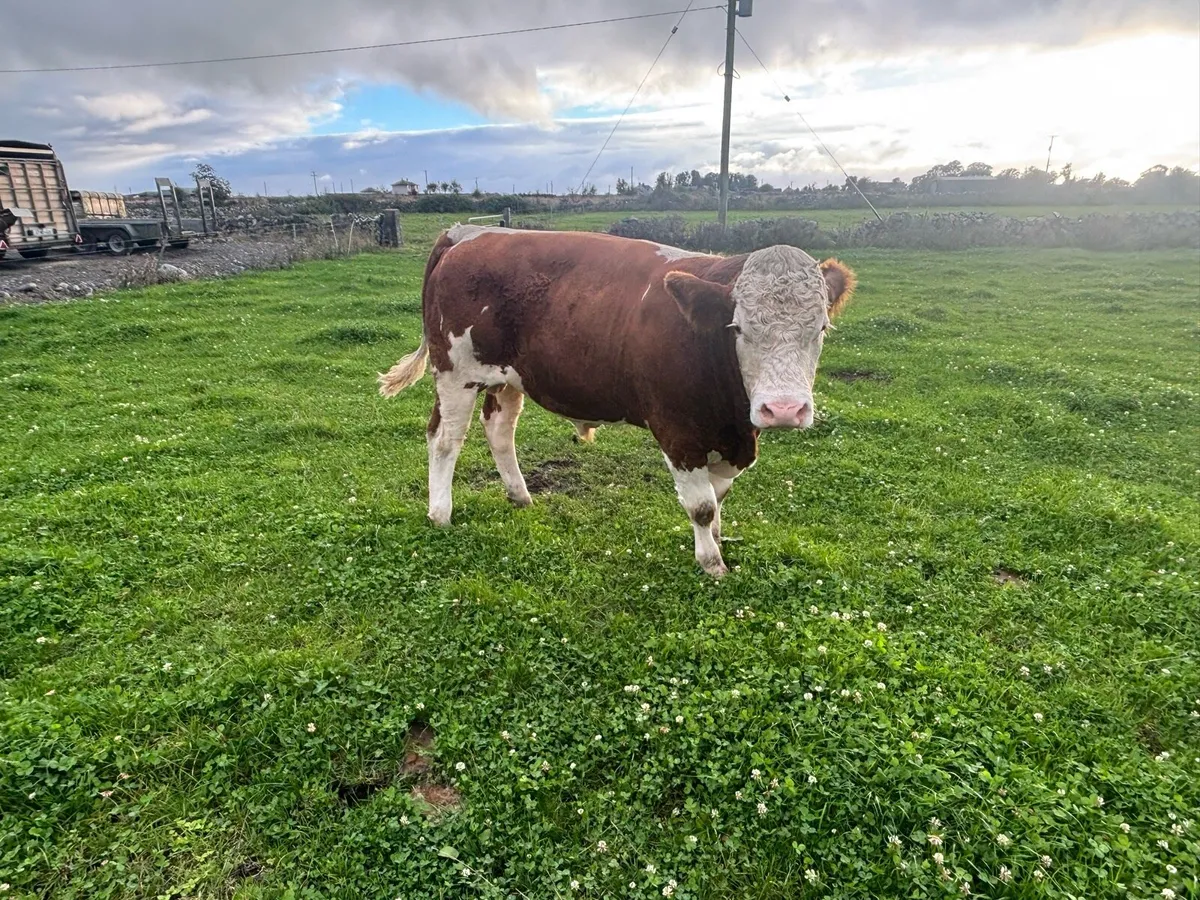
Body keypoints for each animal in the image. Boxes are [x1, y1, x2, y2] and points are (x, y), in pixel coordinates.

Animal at [379, 224, 856, 576]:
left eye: (821, 329)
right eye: (737, 328)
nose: (784, 410)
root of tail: (465, 232)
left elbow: (718, 497)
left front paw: (719, 540)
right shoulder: (677, 431)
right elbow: (701, 505)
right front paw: (711, 562)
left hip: (508, 377)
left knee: (499, 427)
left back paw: (520, 495)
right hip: (454, 373)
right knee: (444, 439)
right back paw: (440, 513)